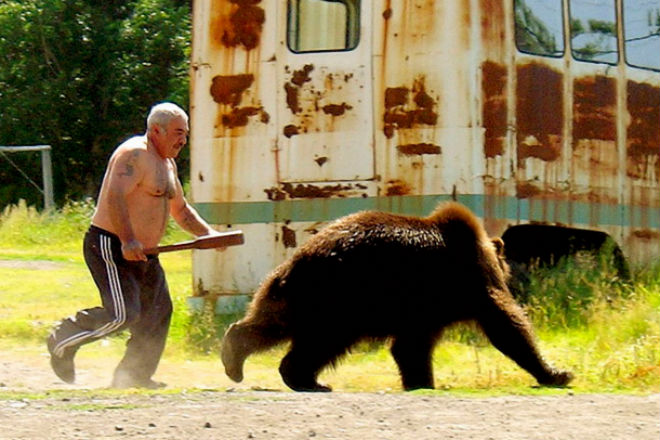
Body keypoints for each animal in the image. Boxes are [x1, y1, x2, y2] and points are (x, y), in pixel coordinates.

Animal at [222, 203, 572, 392]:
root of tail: (297, 260)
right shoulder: (468, 282)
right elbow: (505, 324)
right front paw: (556, 372)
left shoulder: (423, 310)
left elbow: (410, 347)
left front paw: (421, 381)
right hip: (341, 298)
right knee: (323, 342)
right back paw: (306, 378)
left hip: (293, 295)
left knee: (271, 324)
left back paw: (237, 358)